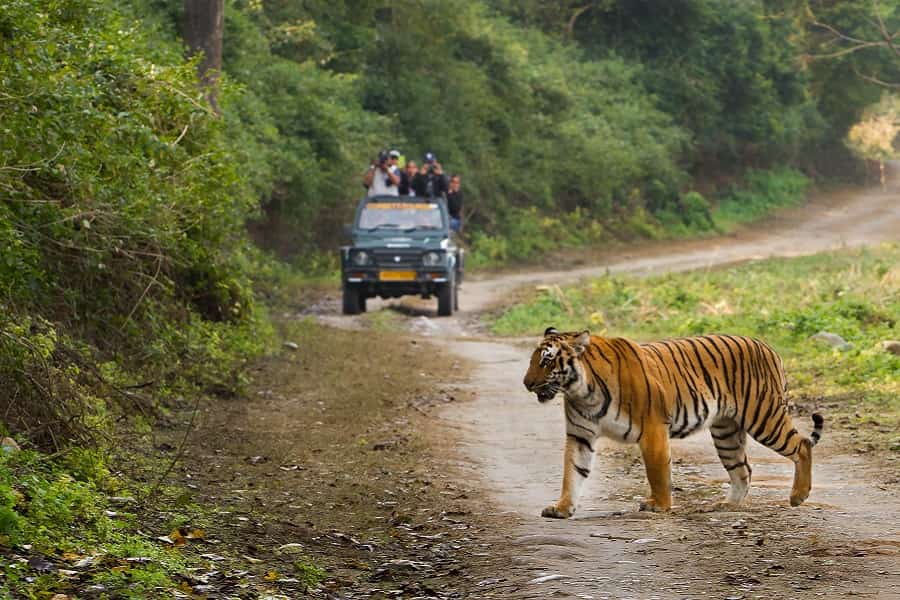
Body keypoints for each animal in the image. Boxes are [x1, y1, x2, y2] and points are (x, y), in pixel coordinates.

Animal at [524, 326, 828, 516]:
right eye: (533, 360)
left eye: (547, 361)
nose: (526, 383)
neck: (582, 390)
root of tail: (768, 347)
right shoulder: (580, 435)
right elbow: (572, 472)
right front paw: (562, 508)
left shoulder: (653, 429)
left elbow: (657, 472)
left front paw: (659, 505)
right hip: (726, 433)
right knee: (743, 469)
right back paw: (728, 505)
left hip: (764, 417)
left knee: (802, 445)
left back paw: (798, 496)